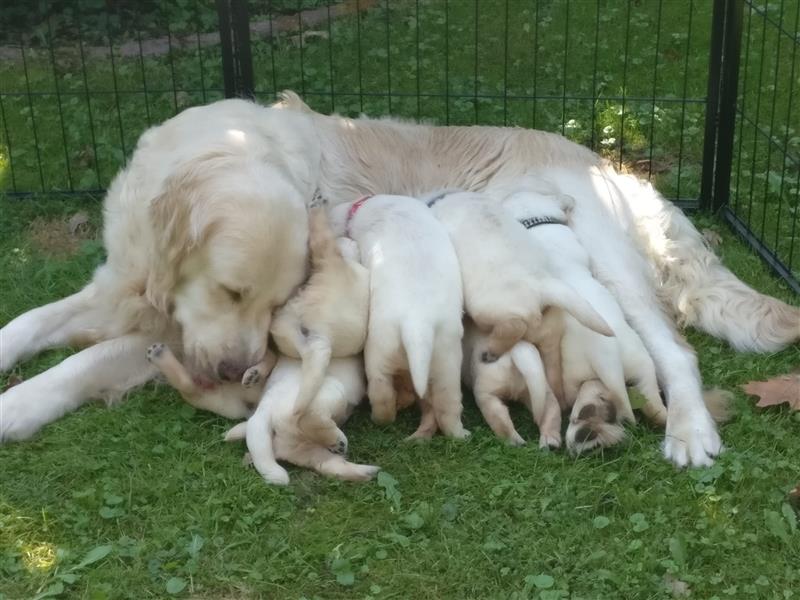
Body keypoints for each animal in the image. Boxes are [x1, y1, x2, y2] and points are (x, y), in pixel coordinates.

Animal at [222, 354, 378, 486]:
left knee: (328, 465)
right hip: (328, 391)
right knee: (310, 418)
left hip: (309, 452)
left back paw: (366, 471)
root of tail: (265, 408)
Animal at [268, 204, 368, 448]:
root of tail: (324, 336)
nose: (349, 238)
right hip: (296, 339)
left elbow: (321, 238)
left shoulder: (330, 257)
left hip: (292, 325)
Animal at [428, 190, 616, 408]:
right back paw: (560, 402)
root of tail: (542, 287)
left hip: (487, 310)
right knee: (553, 372)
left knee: (514, 326)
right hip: (550, 340)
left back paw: (491, 351)